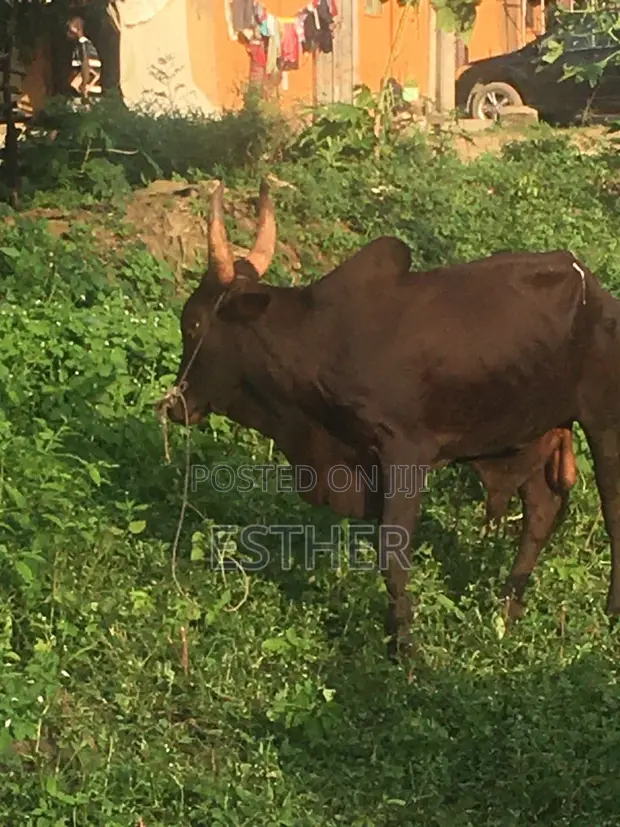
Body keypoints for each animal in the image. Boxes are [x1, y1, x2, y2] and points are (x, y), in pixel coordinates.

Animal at [161, 179, 618, 661]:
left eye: (192, 324)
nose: (175, 405)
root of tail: (593, 287)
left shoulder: (404, 453)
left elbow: (392, 554)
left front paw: (404, 647)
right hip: (526, 433)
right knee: (541, 510)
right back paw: (506, 613)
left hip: (604, 418)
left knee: (612, 507)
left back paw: (610, 612)